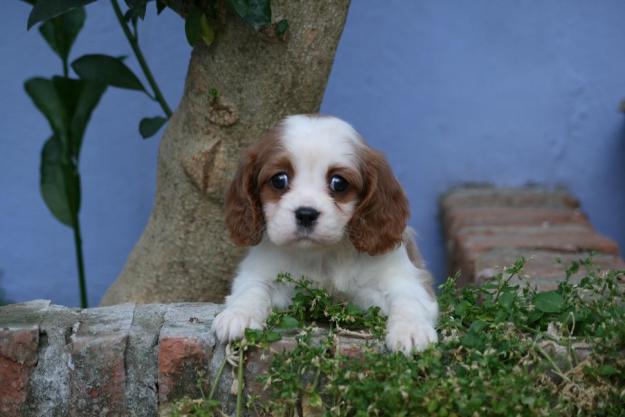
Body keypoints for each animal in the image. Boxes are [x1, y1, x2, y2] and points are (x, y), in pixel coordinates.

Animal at [214, 114, 438, 352]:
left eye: (338, 183)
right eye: (279, 180)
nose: (305, 214)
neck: (323, 254)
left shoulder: (402, 277)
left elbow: (408, 299)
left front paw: (411, 330)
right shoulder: (260, 272)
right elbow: (251, 289)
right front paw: (238, 316)